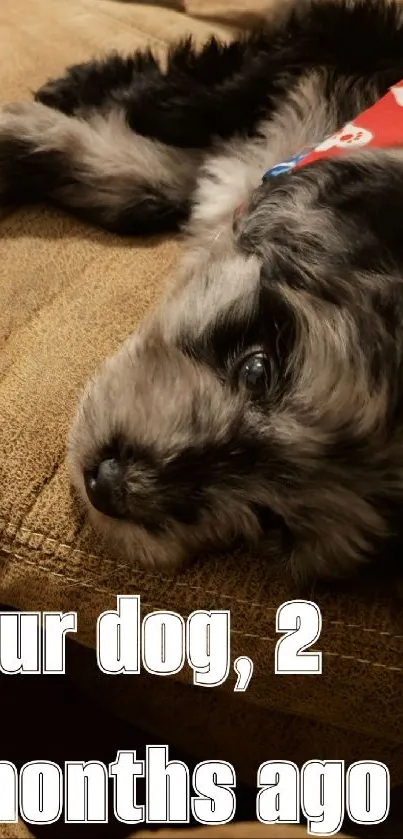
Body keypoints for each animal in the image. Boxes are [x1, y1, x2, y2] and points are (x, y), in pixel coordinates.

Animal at [2, 0, 403, 576]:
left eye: (270, 522)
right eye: (257, 368)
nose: (109, 486)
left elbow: (155, 182)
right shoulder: (337, 44)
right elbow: (185, 112)